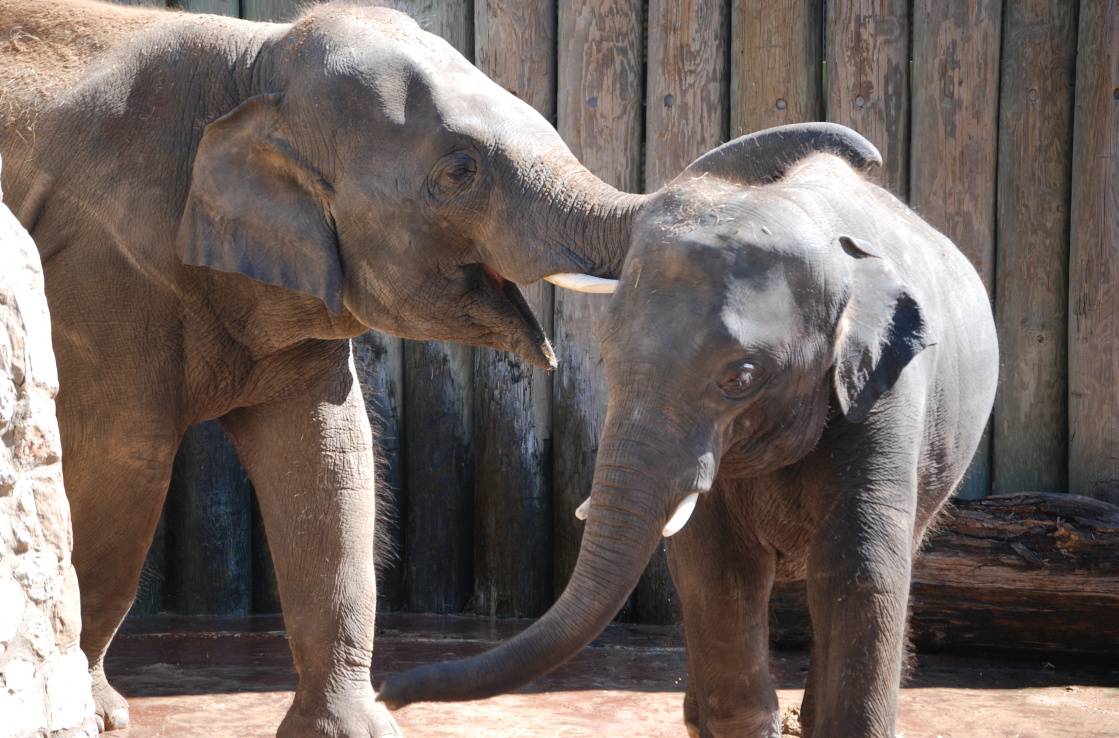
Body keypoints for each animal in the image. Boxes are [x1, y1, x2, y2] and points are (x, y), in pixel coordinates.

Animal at [2, 0, 881, 733]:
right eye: (458, 172)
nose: (867, 161)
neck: (252, 61)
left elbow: (330, 461)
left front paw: (352, 730)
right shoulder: (103, 267)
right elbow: (123, 464)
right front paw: (98, 714)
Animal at [382, 132, 998, 738]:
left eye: (741, 378)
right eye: (606, 358)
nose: (387, 691)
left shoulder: (886, 391)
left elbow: (861, 568)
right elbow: (715, 567)